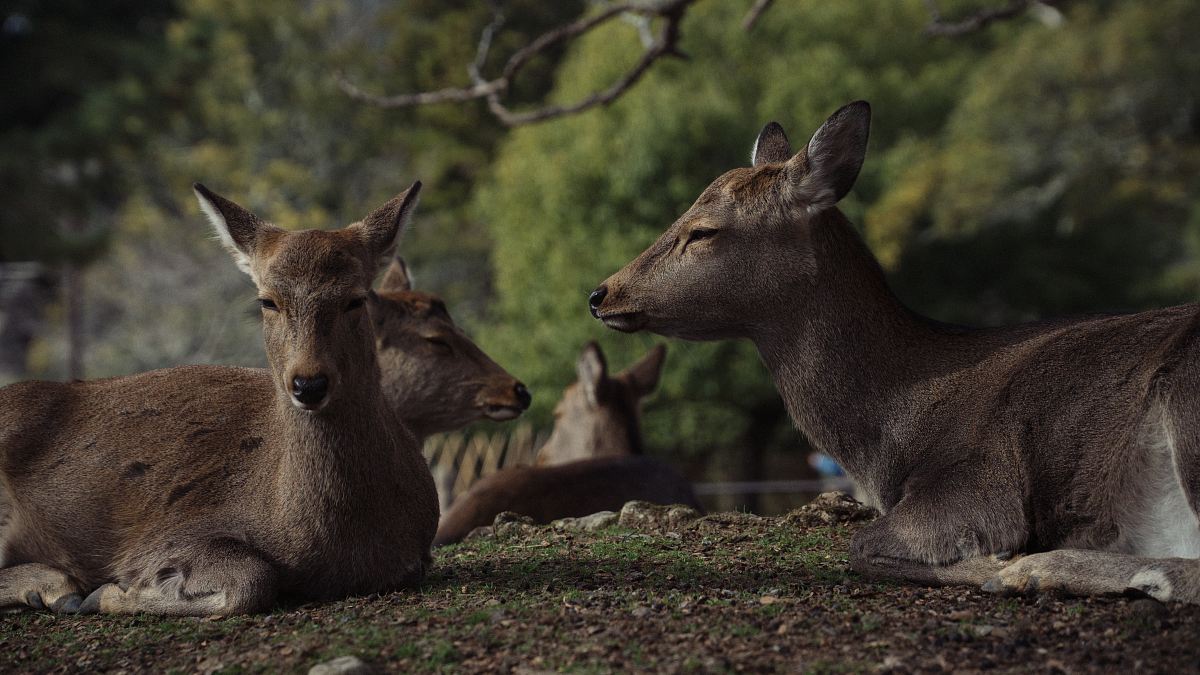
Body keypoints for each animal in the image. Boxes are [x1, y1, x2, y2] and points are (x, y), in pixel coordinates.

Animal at [0, 181, 441, 612]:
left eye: (356, 298)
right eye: (267, 300)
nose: (309, 384)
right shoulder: (163, 535)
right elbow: (252, 578)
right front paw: (112, 592)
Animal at [588, 100, 1200, 605]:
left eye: (704, 231)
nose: (601, 294)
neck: (887, 442)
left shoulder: (980, 483)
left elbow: (863, 545)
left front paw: (1001, 563)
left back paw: (1052, 571)